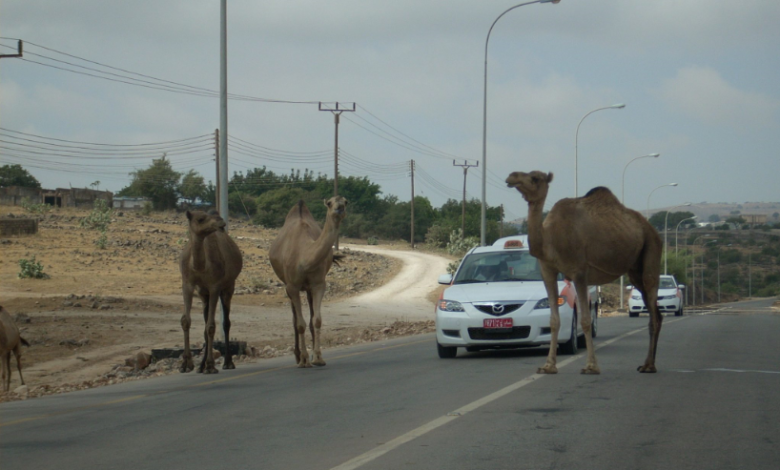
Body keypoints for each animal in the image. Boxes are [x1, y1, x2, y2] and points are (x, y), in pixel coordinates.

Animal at [179, 209, 242, 374]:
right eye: (200, 219)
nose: (221, 222)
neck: (200, 266)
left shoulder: (214, 286)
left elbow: (211, 326)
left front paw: (211, 365)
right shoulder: (188, 284)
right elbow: (186, 321)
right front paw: (186, 364)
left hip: (228, 287)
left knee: (225, 323)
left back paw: (228, 363)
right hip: (203, 294)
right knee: (205, 323)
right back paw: (201, 366)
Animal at [268, 196, 348, 370]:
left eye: (346, 202)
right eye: (330, 203)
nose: (339, 208)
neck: (304, 256)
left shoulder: (318, 284)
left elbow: (316, 320)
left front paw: (318, 358)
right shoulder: (292, 286)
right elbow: (299, 324)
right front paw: (304, 360)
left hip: (308, 289)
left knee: (310, 317)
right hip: (288, 286)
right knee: (294, 318)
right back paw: (298, 356)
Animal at [506, 171, 664, 372]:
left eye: (535, 178)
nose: (512, 176)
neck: (550, 240)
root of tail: (652, 229)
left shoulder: (579, 272)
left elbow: (586, 320)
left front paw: (591, 366)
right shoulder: (547, 271)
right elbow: (554, 320)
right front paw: (548, 366)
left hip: (651, 247)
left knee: (652, 303)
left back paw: (649, 366)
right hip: (635, 269)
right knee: (655, 309)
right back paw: (648, 363)